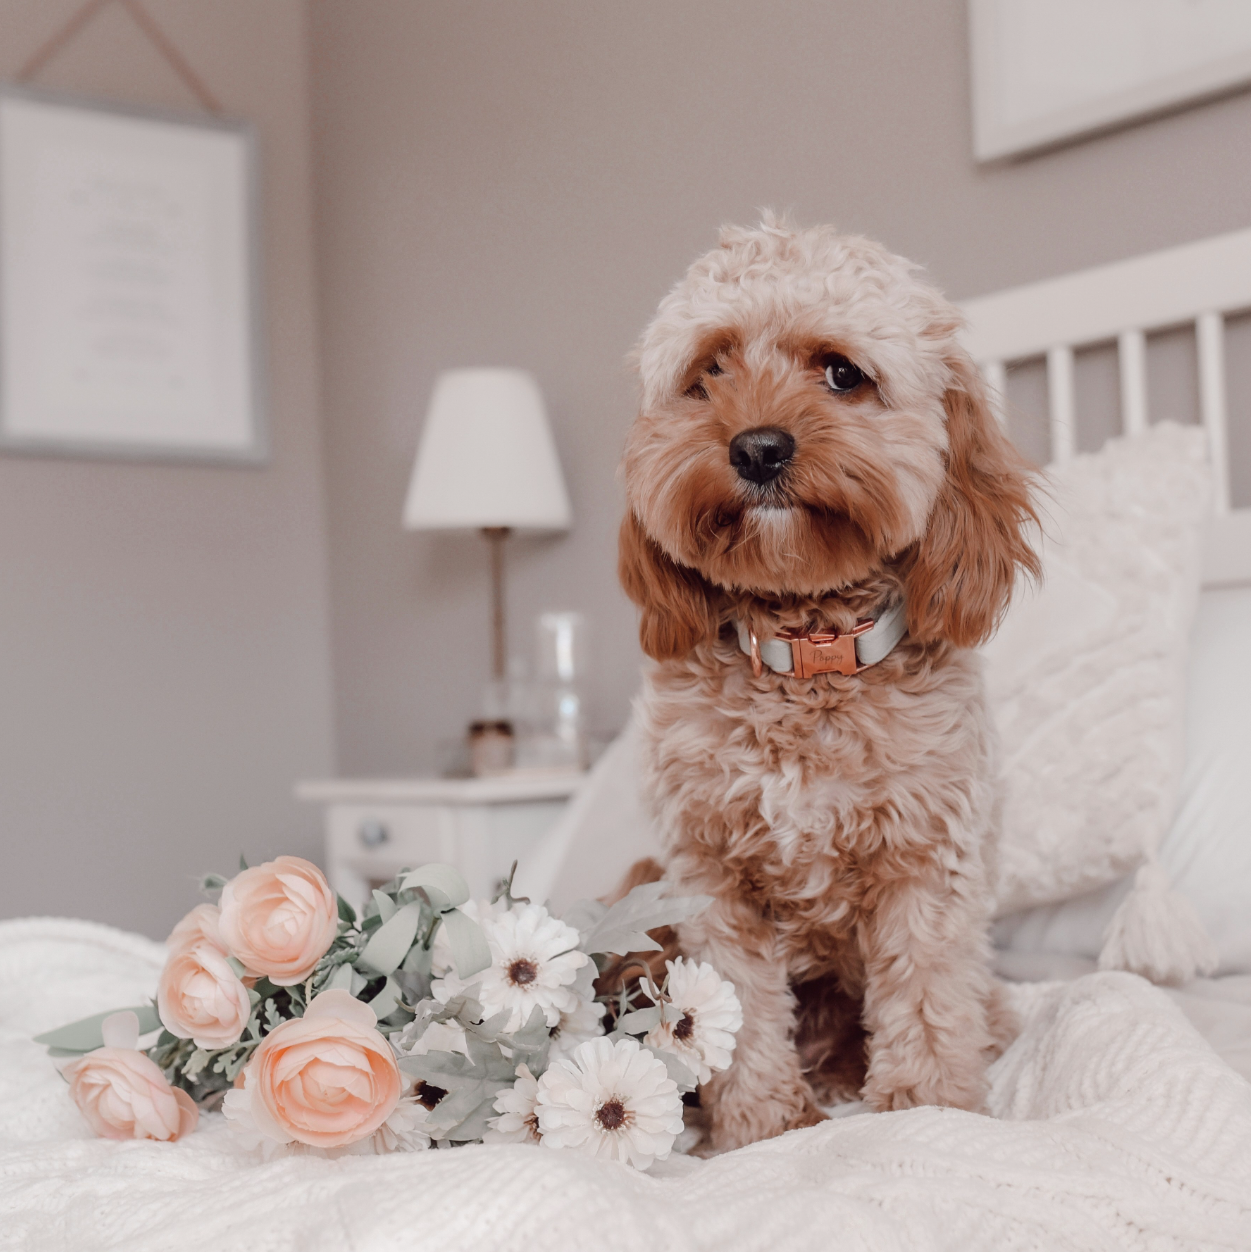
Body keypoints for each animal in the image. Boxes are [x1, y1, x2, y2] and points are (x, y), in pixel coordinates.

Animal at [616, 215, 1036, 1151]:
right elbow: (731, 1009)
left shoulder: (927, 859)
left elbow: (925, 994)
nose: (757, 446)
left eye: (843, 373)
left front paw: (925, 1111)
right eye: (709, 372)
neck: (804, 652)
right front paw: (761, 1128)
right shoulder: (709, 877)